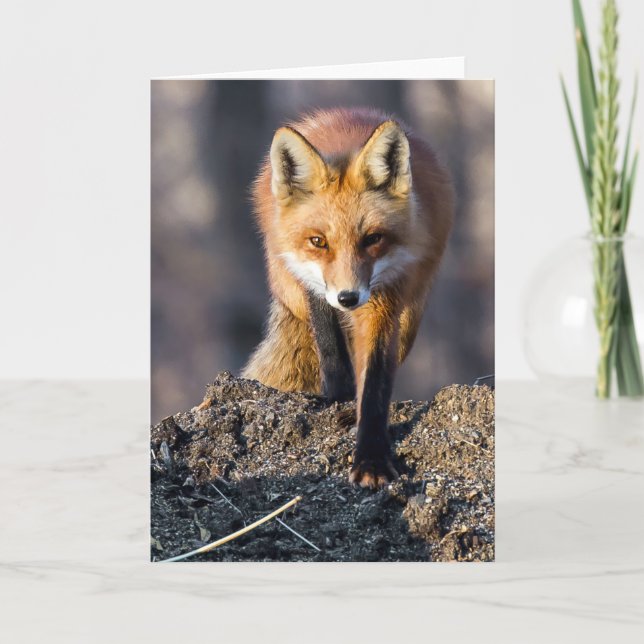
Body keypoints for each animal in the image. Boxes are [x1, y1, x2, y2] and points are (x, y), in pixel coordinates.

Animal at [242, 107, 453, 488]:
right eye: (318, 242)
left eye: (372, 239)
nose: (348, 297)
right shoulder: (311, 284)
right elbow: (329, 346)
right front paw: (339, 397)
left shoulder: (386, 299)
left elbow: (375, 380)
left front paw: (371, 457)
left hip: (411, 317)